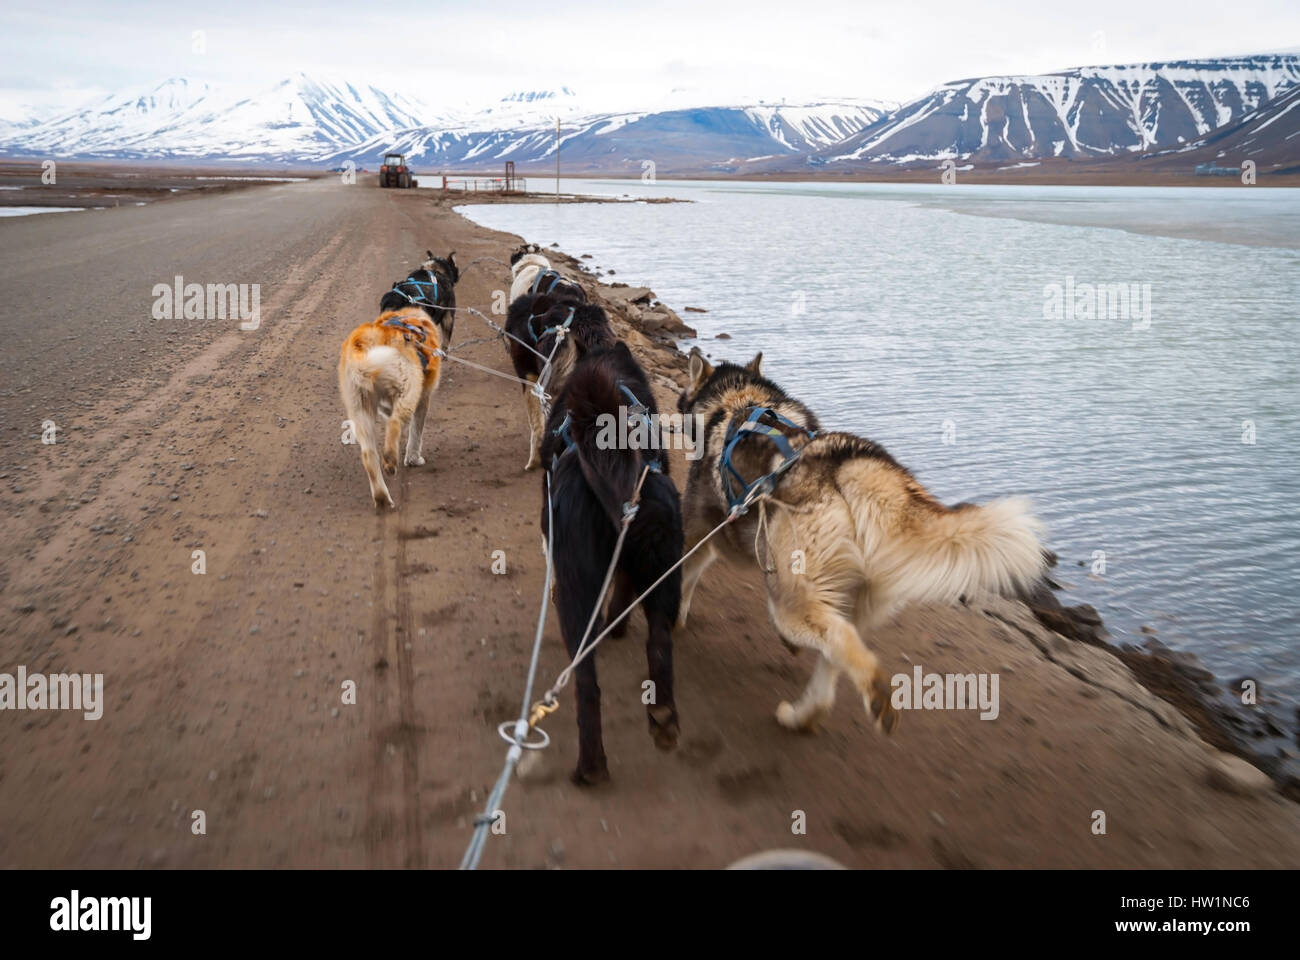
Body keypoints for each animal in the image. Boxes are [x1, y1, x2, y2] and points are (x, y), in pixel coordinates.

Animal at [338, 304, 444, 509]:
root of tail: (363, 342)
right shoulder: (423, 398)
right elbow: (416, 433)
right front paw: (413, 458)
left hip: (360, 408)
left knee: (368, 455)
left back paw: (382, 497)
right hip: (409, 387)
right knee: (395, 423)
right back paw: (390, 459)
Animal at [540, 340, 686, 780]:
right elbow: (623, 591)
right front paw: (618, 625)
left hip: (575, 596)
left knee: (586, 684)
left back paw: (590, 769)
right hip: (664, 572)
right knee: (660, 642)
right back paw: (663, 720)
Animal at [676, 351, 1050, 733]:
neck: (741, 400)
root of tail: (854, 467)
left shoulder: (703, 533)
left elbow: (683, 577)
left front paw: (673, 621)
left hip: (790, 600)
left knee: (840, 639)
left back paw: (875, 694)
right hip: (845, 598)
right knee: (832, 660)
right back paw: (803, 715)